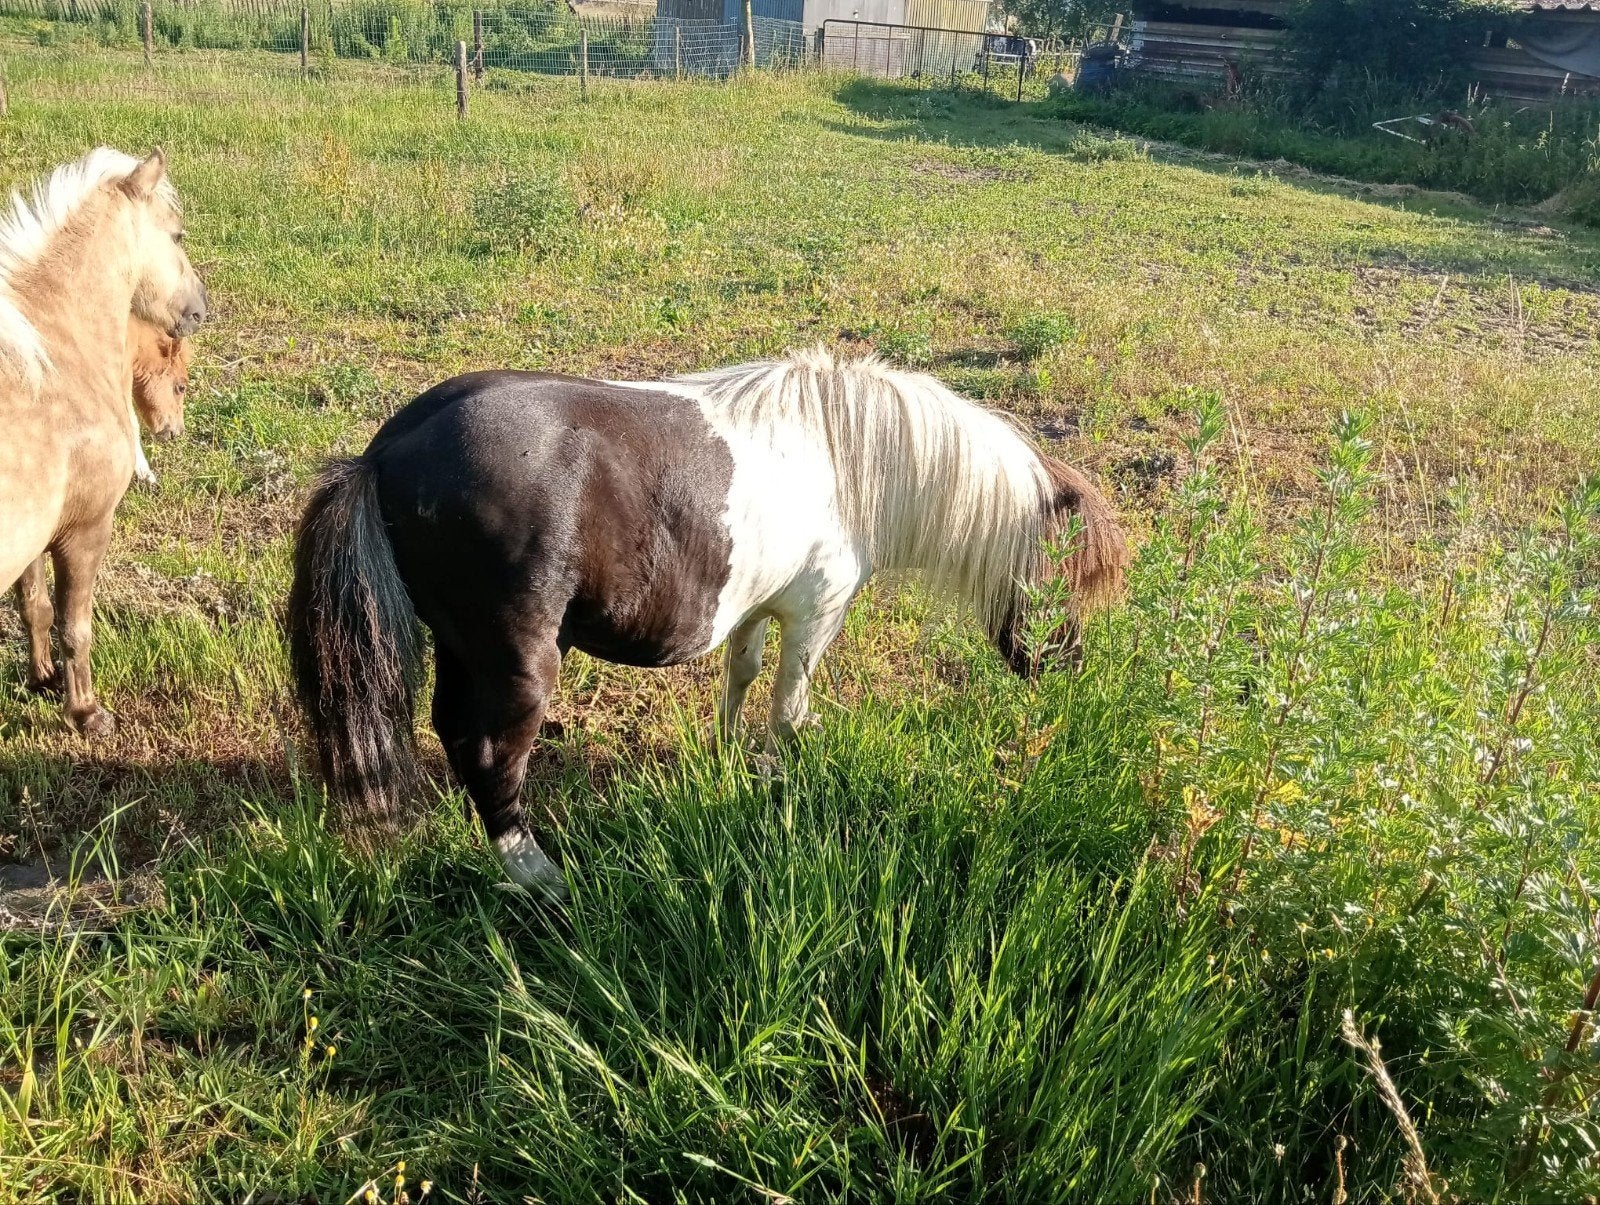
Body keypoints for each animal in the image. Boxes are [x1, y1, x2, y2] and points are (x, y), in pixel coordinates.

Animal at [288, 347, 1128, 899]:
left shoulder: (755, 605)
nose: (1070, 666)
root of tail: (389, 449)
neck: (848, 457)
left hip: (463, 651)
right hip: (516, 660)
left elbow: (741, 675)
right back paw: (537, 873)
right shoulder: (816, 613)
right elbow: (789, 708)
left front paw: (726, 759)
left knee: (453, 733)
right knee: (491, 751)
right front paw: (782, 781)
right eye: (1068, 577)